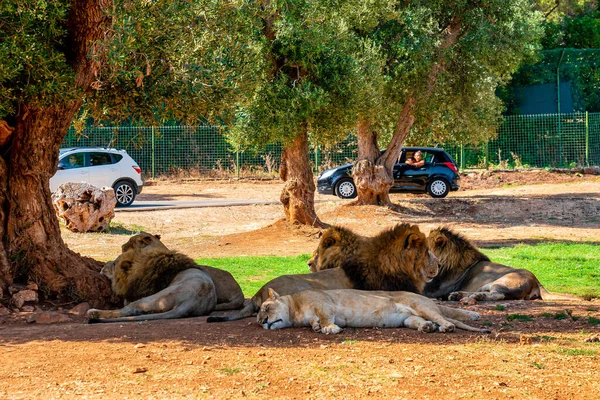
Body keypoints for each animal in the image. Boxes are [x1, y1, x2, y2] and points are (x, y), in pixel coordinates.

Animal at [86, 248, 218, 324]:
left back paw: (94, 312)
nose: (102, 267)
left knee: (129, 310)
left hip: (157, 297)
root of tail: (192, 302)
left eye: (114, 264)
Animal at [422, 225, 580, 304]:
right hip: (488, 283)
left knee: (498, 295)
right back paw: (457, 295)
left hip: (501, 282)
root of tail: (537, 281)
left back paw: (475, 297)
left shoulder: (433, 288)